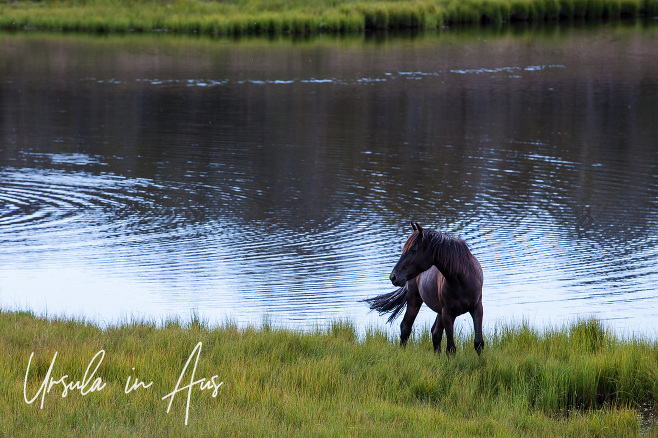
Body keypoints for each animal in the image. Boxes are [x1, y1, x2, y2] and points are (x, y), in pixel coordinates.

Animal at [364, 222, 482, 356]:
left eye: (413, 250)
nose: (393, 276)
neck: (462, 279)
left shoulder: (477, 308)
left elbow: (478, 343)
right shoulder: (448, 313)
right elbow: (451, 348)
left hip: (439, 310)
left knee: (435, 332)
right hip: (414, 300)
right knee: (406, 327)